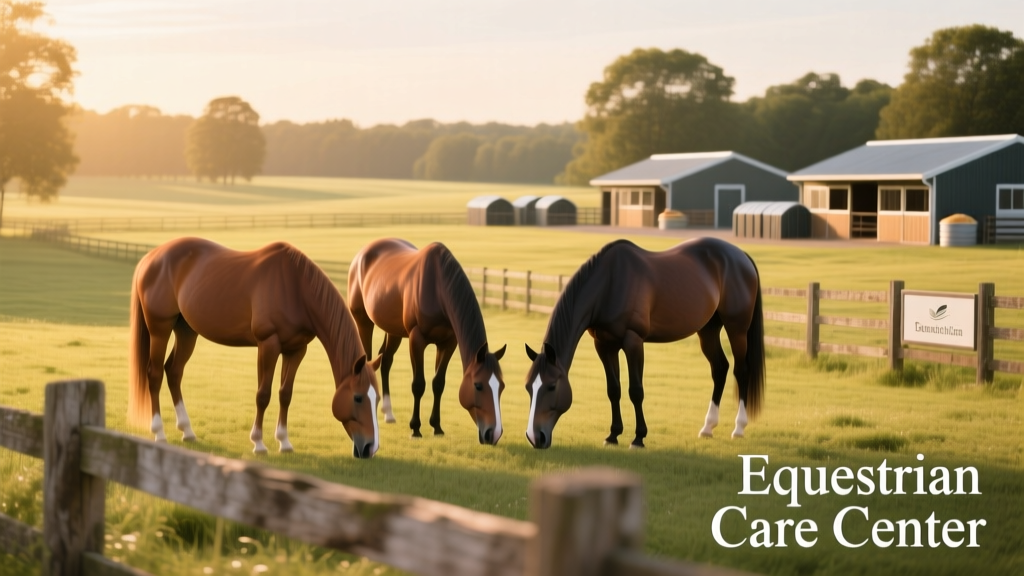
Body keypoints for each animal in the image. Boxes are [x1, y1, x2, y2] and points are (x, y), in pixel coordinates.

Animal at [128, 237, 382, 458]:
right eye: (358, 397)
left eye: (378, 398)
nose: (370, 447)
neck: (296, 287)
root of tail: (150, 258)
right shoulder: (268, 344)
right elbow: (263, 394)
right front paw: (258, 443)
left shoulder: (296, 350)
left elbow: (285, 394)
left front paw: (284, 442)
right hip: (160, 329)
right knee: (155, 374)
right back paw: (159, 432)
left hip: (186, 331)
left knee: (174, 371)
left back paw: (187, 430)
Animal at [347, 238, 507, 444]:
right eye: (478, 386)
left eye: (501, 386)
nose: (493, 433)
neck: (437, 287)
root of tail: (362, 254)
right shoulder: (417, 340)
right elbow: (418, 384)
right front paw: (415, 428)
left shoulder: (448, 343)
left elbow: (438, 383)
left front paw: (436, 426)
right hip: (363, 322)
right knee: (368, 360)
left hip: (393, 331)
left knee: (386, 361)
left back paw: (388, 413)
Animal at [524, 237, 765, 449]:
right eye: (528, 387)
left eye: (552, 386)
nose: (535, 437)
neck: (609, 283)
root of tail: (741, 256)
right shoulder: (604, 345)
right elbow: (614, 390)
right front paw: (613, 435)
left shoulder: (633, 342)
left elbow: (635, 391)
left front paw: (638, 438)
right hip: (708, 330)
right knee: (720, 368)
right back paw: (707, 427)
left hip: (737, 329)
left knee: (741, 370)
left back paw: (738, 428)